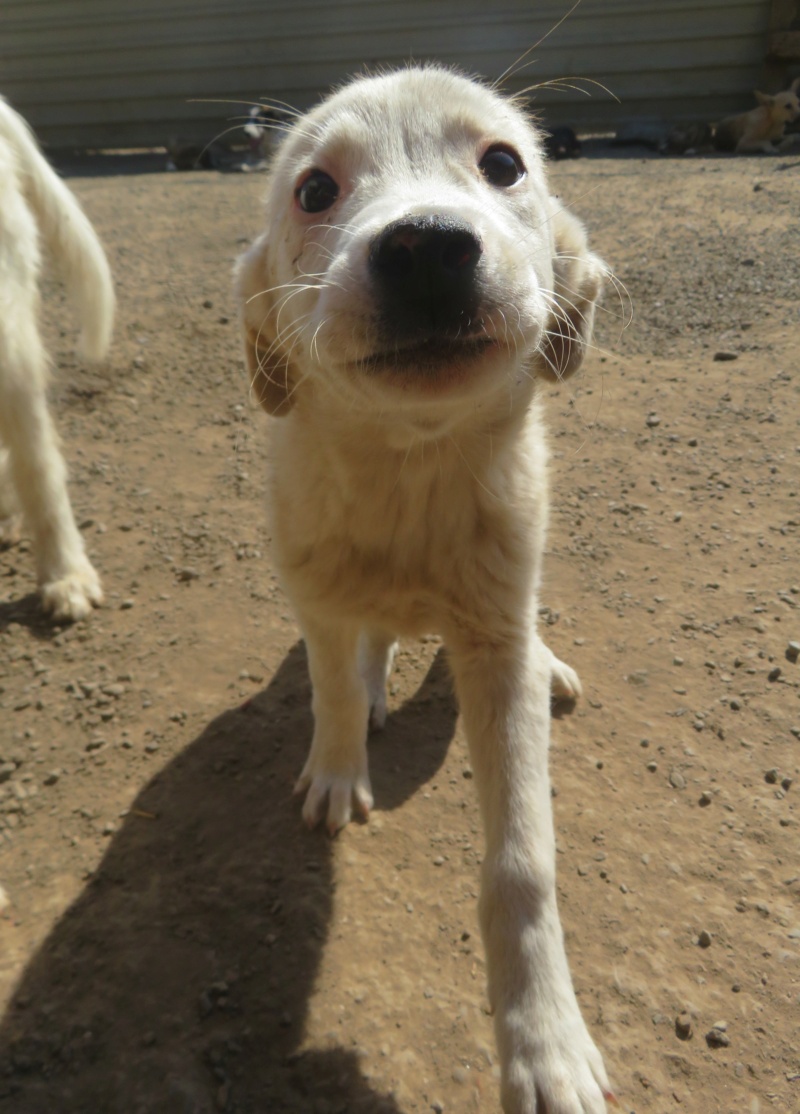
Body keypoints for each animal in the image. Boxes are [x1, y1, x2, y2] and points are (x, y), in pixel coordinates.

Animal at [238, 69, 615, 1114]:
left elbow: (522, 864)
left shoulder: (491, 635)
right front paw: (336, 770)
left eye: (504, 165)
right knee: (368, 649)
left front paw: (545, 1047)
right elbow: (329, 688)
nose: (426, 246)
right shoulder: (316, 597)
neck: (411, 465)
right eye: (314, 191)